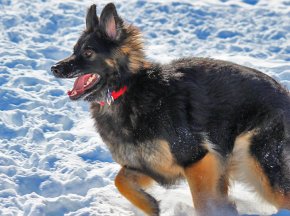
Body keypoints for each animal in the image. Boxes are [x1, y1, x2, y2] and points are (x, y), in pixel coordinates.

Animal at [51, 3, 290, 216]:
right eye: (74, 51)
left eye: (88, 52)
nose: (54, 68)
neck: (128, 91)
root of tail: (284, 93)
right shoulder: (152, 165)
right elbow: (120, 180)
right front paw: (149, 205)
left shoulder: (196, 158)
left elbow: (203, 203)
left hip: (258, 166)